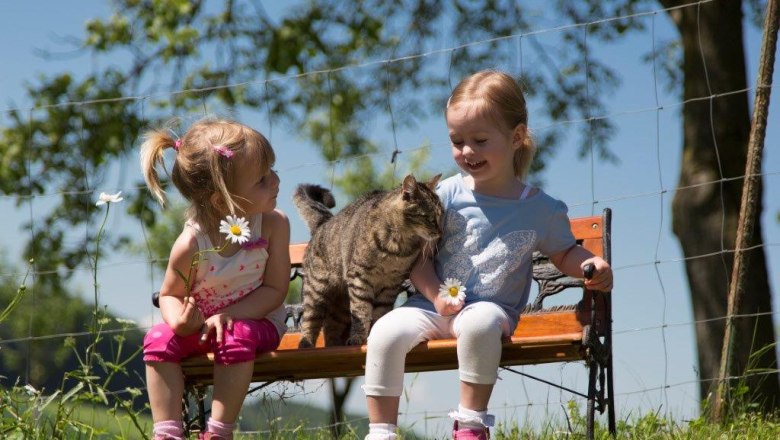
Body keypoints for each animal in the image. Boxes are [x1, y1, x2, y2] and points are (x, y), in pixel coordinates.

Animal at [292, 174, 442, 346]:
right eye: (430, 218)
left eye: (442, 215)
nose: (440, 232)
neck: (397, 247)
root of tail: (324, 222)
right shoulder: (360, 277)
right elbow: (361, 311)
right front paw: (358, 337)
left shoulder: (391, 285)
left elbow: (379, 313)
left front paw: (373, 335)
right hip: (316, 291)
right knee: (310, 321)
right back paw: (306, 343)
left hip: (340, 308)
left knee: (331, 329)